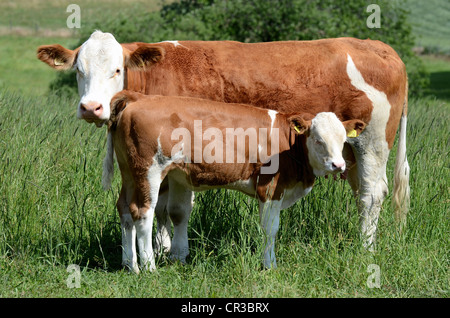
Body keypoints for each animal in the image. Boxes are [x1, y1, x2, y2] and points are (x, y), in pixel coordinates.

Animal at [104, 90, 366, 272]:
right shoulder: (270, 188)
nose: (339, 165)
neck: (289, 144)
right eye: (318, 140)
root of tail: (138, 98)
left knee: (124, 209)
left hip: (129, 173)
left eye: (343, 140)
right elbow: (270, 229)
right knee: (143, 213)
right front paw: (269, 265)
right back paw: (148, 267)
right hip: (148, 171)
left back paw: (130, 264)